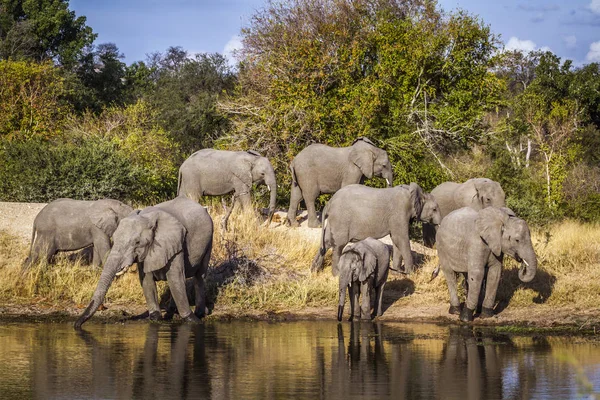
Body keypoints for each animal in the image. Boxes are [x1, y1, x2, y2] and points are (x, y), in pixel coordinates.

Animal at [74, 195, 213, 330]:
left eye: (137, 243)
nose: (76, 326)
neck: (148, 219)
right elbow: (146, 281)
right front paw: (155, 317)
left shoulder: (176, 243)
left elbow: (175, 277)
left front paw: (193, 320)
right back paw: (172, 311)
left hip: (209, 240)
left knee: (199, 276)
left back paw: (199, 313)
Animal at [310, 183, 440, 276]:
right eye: (434, 209)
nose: (433, 273)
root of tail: (329, 202)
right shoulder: (400, 212)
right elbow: (401, 238)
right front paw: (411, 274)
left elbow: (396, 241)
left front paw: (397, 273)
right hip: (341, 219)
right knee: (338, 245)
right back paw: (336, 274)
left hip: (333, 221)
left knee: (326, 243)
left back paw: (314, 271)